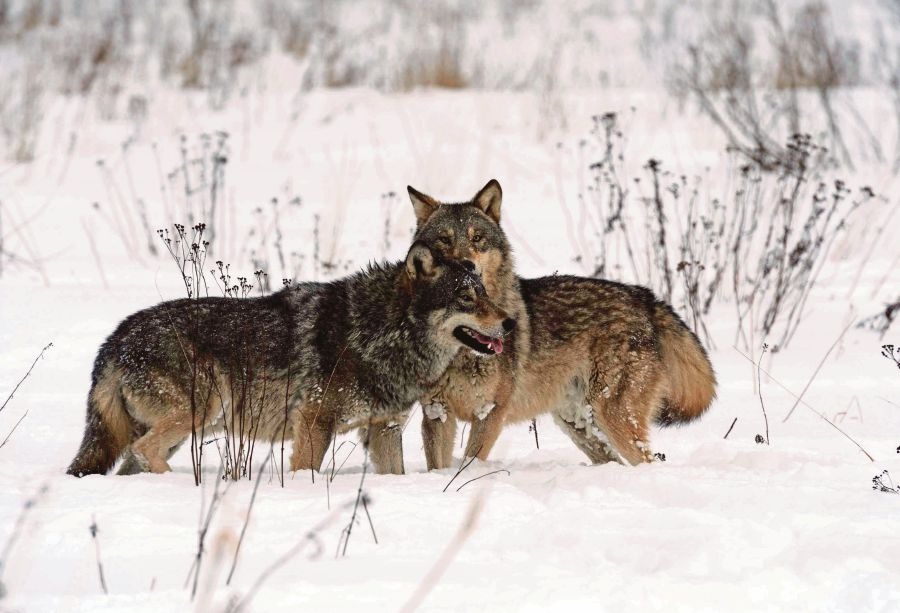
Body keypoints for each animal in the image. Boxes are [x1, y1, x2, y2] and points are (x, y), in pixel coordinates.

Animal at [66, 242, 514, 477]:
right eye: (466, 298)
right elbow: (308, 470)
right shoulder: (314, 422)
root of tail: (114, 340)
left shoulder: (384, 427)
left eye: (483, 293)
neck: (379, 331)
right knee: (144, 450)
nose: (510, 322)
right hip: (201, 411)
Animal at [411, 182, 716, 468]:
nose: (466, 265)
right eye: (444, 240)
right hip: (578, 424)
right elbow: (436, 465)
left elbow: (470, 463)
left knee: (647, 461)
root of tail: (645, 298)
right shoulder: (437, 411)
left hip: (611, 416)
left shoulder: (490, 413)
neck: (464, 343)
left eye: (478, 239)